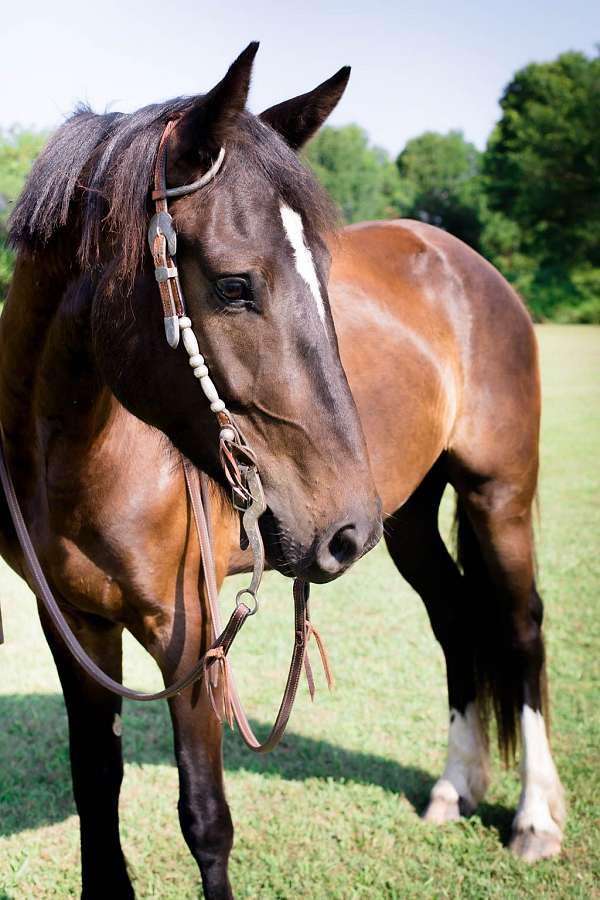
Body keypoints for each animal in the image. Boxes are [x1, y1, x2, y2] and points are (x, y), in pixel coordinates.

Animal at [0, 42, 564, 900]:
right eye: (234, 286)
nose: (343, 526)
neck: (70, 458)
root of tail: (463, 260)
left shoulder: (188, 634)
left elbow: (205, 820)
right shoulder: (71, 620)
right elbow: (96, 785)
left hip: (495, 491)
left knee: (521, 627)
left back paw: (534, 819)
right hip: (408, 515)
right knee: (453, 616)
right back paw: (452, 789)